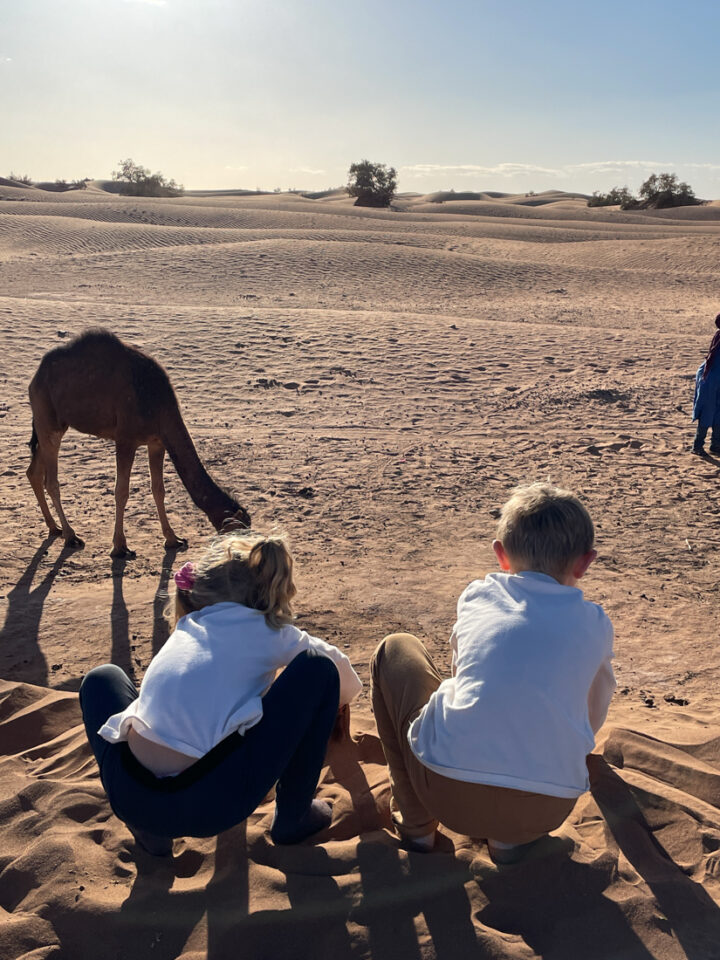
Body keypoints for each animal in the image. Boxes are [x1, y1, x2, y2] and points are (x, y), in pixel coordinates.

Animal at [26, 328, 252, 556]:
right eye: (238, 533)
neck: (157, 401)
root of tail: (36, 376)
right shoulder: (126, 439)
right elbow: (121, 491)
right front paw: (119, 547)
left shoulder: (157, 442)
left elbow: (158, 489)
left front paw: (172, 539)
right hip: (47, 417)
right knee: (51, 480)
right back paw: (70, 535)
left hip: (52, 423)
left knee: (34, 471)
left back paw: (54, 528)